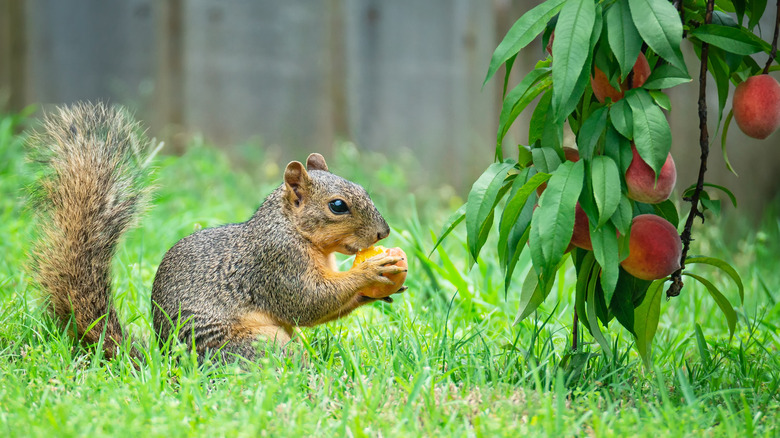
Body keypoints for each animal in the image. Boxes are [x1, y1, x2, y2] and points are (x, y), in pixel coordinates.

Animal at [27, 102, 406, 362]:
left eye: (363, 188)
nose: (383, 233)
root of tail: (169, 364)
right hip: (255, 344)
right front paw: (371, 271)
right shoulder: (276, 263)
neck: (293, 229)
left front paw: (376, 292)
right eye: (338, 206)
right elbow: (307, 302)